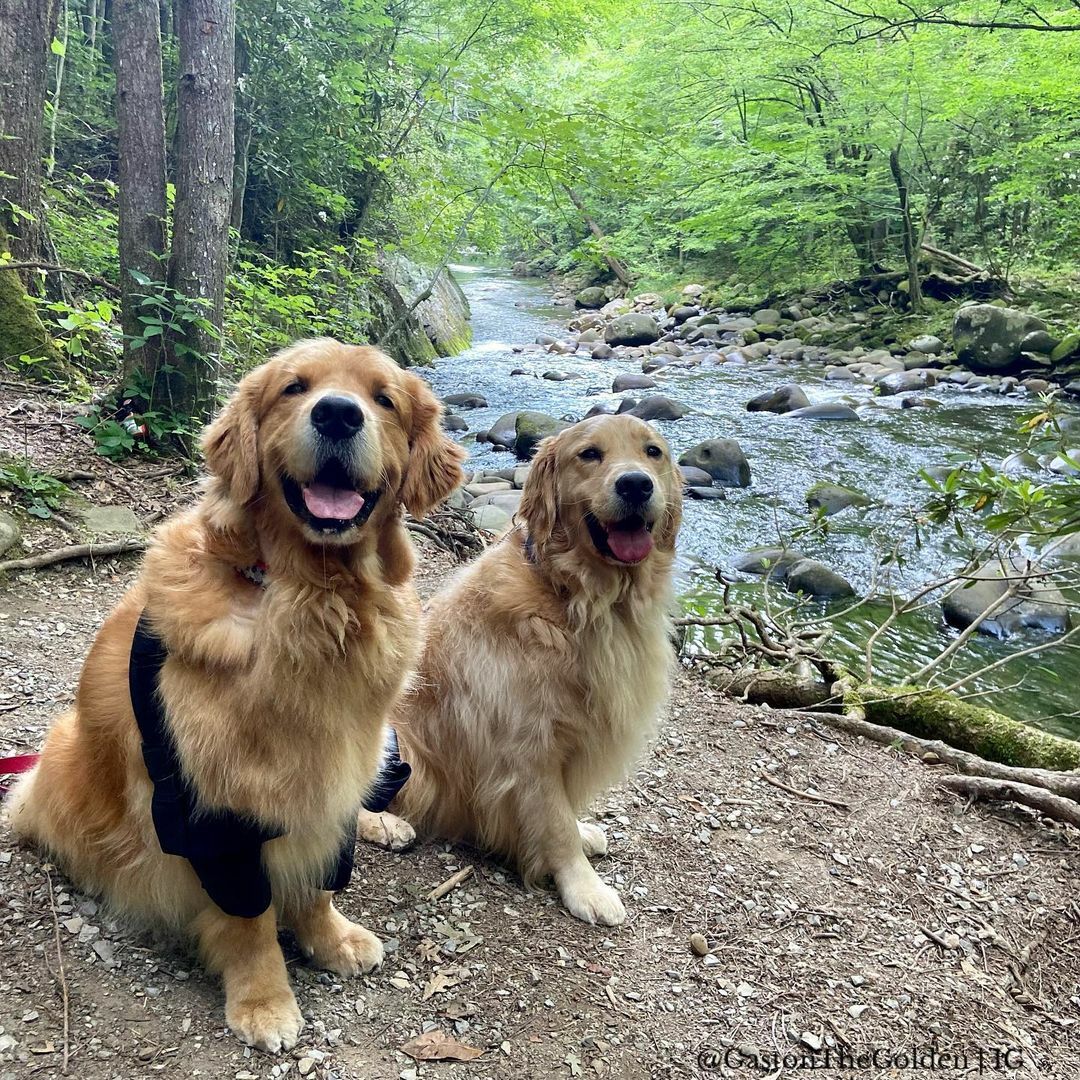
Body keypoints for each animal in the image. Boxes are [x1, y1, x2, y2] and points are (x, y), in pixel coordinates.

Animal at [7, 339, 464, 1054]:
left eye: (383, 398)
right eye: (294, 388)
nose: (338, 414)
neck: (308, 596)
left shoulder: (329, 779)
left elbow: (318, 881)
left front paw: (330, 939)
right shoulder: (213, 812)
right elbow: (250, 919)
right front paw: (264, 1000)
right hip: (62, 755)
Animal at [362, 416, 682, 924]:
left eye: (653, 452)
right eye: (589, 454)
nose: (635, 484)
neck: (578, 598)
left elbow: (564, 814)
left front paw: (583, 835)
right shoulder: (529, 746)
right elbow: (554, 823)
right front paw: (585, 888)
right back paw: (385, 823)